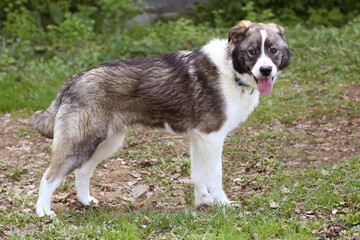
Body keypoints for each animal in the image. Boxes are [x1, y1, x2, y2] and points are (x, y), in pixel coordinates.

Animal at [33, 19, 290, 217]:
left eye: (273, 50)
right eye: (252, 51)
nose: (266, 70)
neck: (230, 70)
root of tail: (72, 80)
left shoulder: (199, 139)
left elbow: (198, 176)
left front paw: (203, 203)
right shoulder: (212, 138)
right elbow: (215, 177)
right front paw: (223, 205)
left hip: (106, 143)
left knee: (83, 171)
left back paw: (86, 201)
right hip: (80, 144)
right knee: (49, 177)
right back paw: (44, 213)